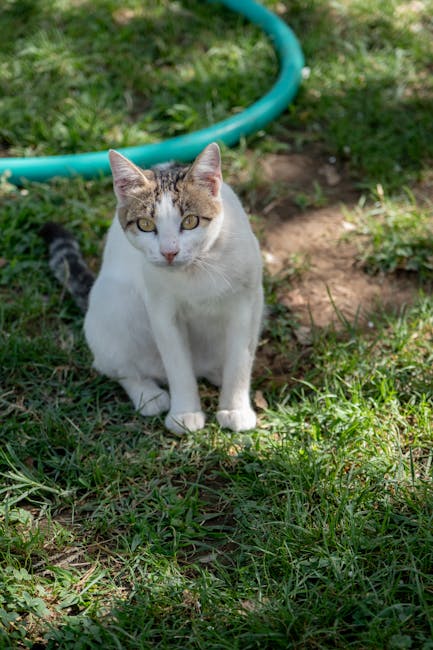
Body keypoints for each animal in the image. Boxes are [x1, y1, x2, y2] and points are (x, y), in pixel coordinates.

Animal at [42, 144, 264, 432]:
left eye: (190, 221)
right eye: (145, 225)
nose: (169, 252)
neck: (197, 269)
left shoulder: (245, 305)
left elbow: (240, 361)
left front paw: (234, 408)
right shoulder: (163, 313)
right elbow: (178, 366)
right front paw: (184, 413)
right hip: (113, 308)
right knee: (115, 367)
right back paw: (148, 395)